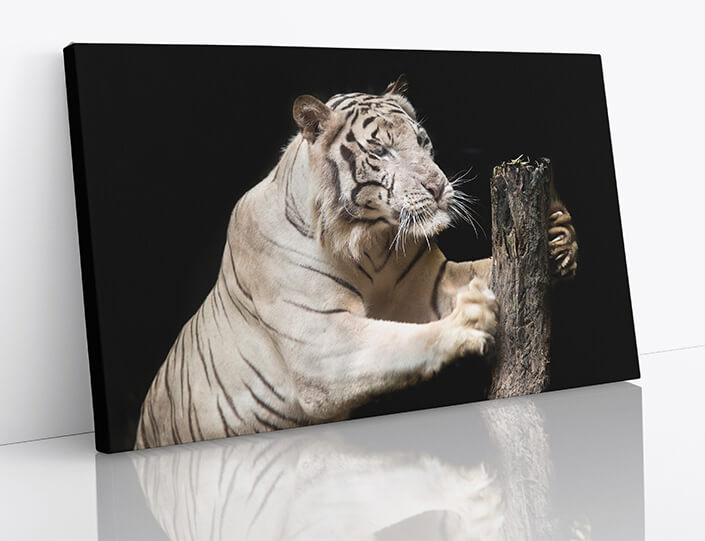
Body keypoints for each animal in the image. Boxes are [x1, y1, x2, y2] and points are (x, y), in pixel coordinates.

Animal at [134, 74, 578, 450]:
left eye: (423, 142)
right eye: (381, 150)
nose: (438, 186)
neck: (371, 243)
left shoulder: (428, 286)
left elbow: (481, 271)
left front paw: (558, 237)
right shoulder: (320, 340)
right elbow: (396, 344)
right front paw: (467, 322)